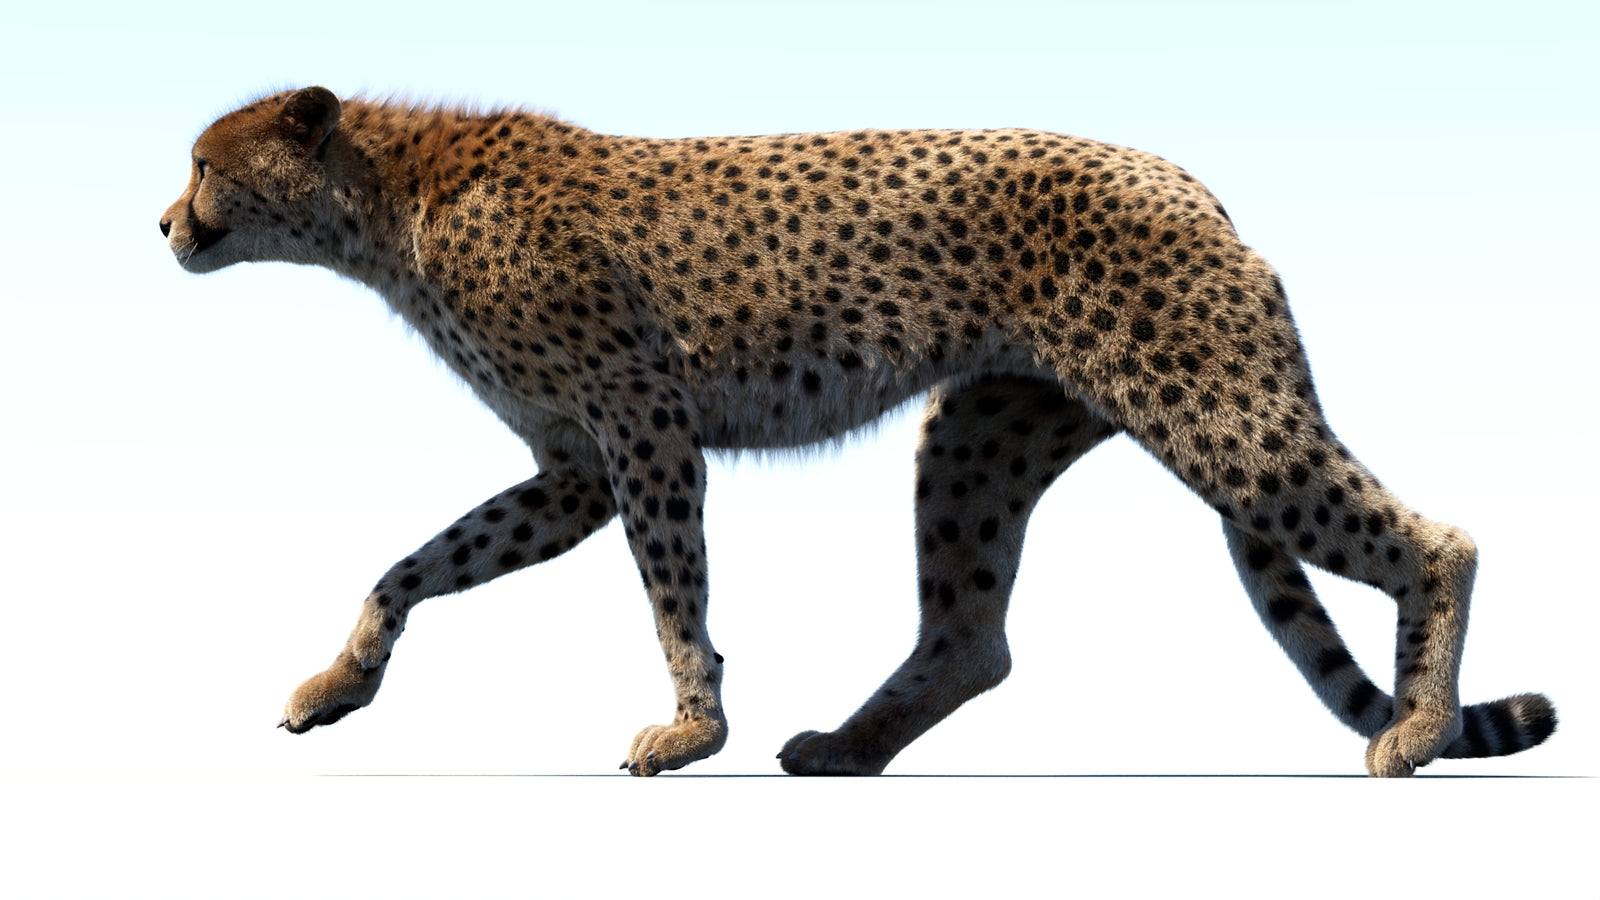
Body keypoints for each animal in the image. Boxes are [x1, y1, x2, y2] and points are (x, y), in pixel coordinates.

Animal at [160, 87, 1556, 776]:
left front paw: (690, 730)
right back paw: (847, 745)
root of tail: (1186, 180)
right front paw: (338, 684)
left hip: (1210, 407)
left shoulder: (643, 427)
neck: (384, 202)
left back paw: (1417, 731)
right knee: (971, 635)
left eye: (204, 164)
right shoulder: (575, 471)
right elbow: (412, 566)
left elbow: (672, 590)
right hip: (983, 436)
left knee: (1438, 540)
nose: (164, 222)